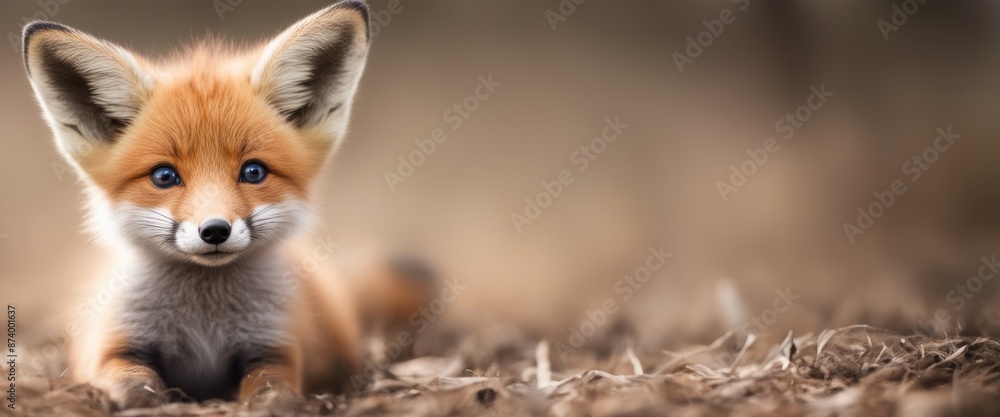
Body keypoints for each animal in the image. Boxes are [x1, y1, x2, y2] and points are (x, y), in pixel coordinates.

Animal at [21, 1, 433, 410]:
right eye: (164, 176)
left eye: (253, 171)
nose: (215, 230)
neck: (205, 321)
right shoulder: (114, 344)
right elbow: (130, 381)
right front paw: (141, 398)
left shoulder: (274, 349)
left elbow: (272, 387)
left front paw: (274, 405)